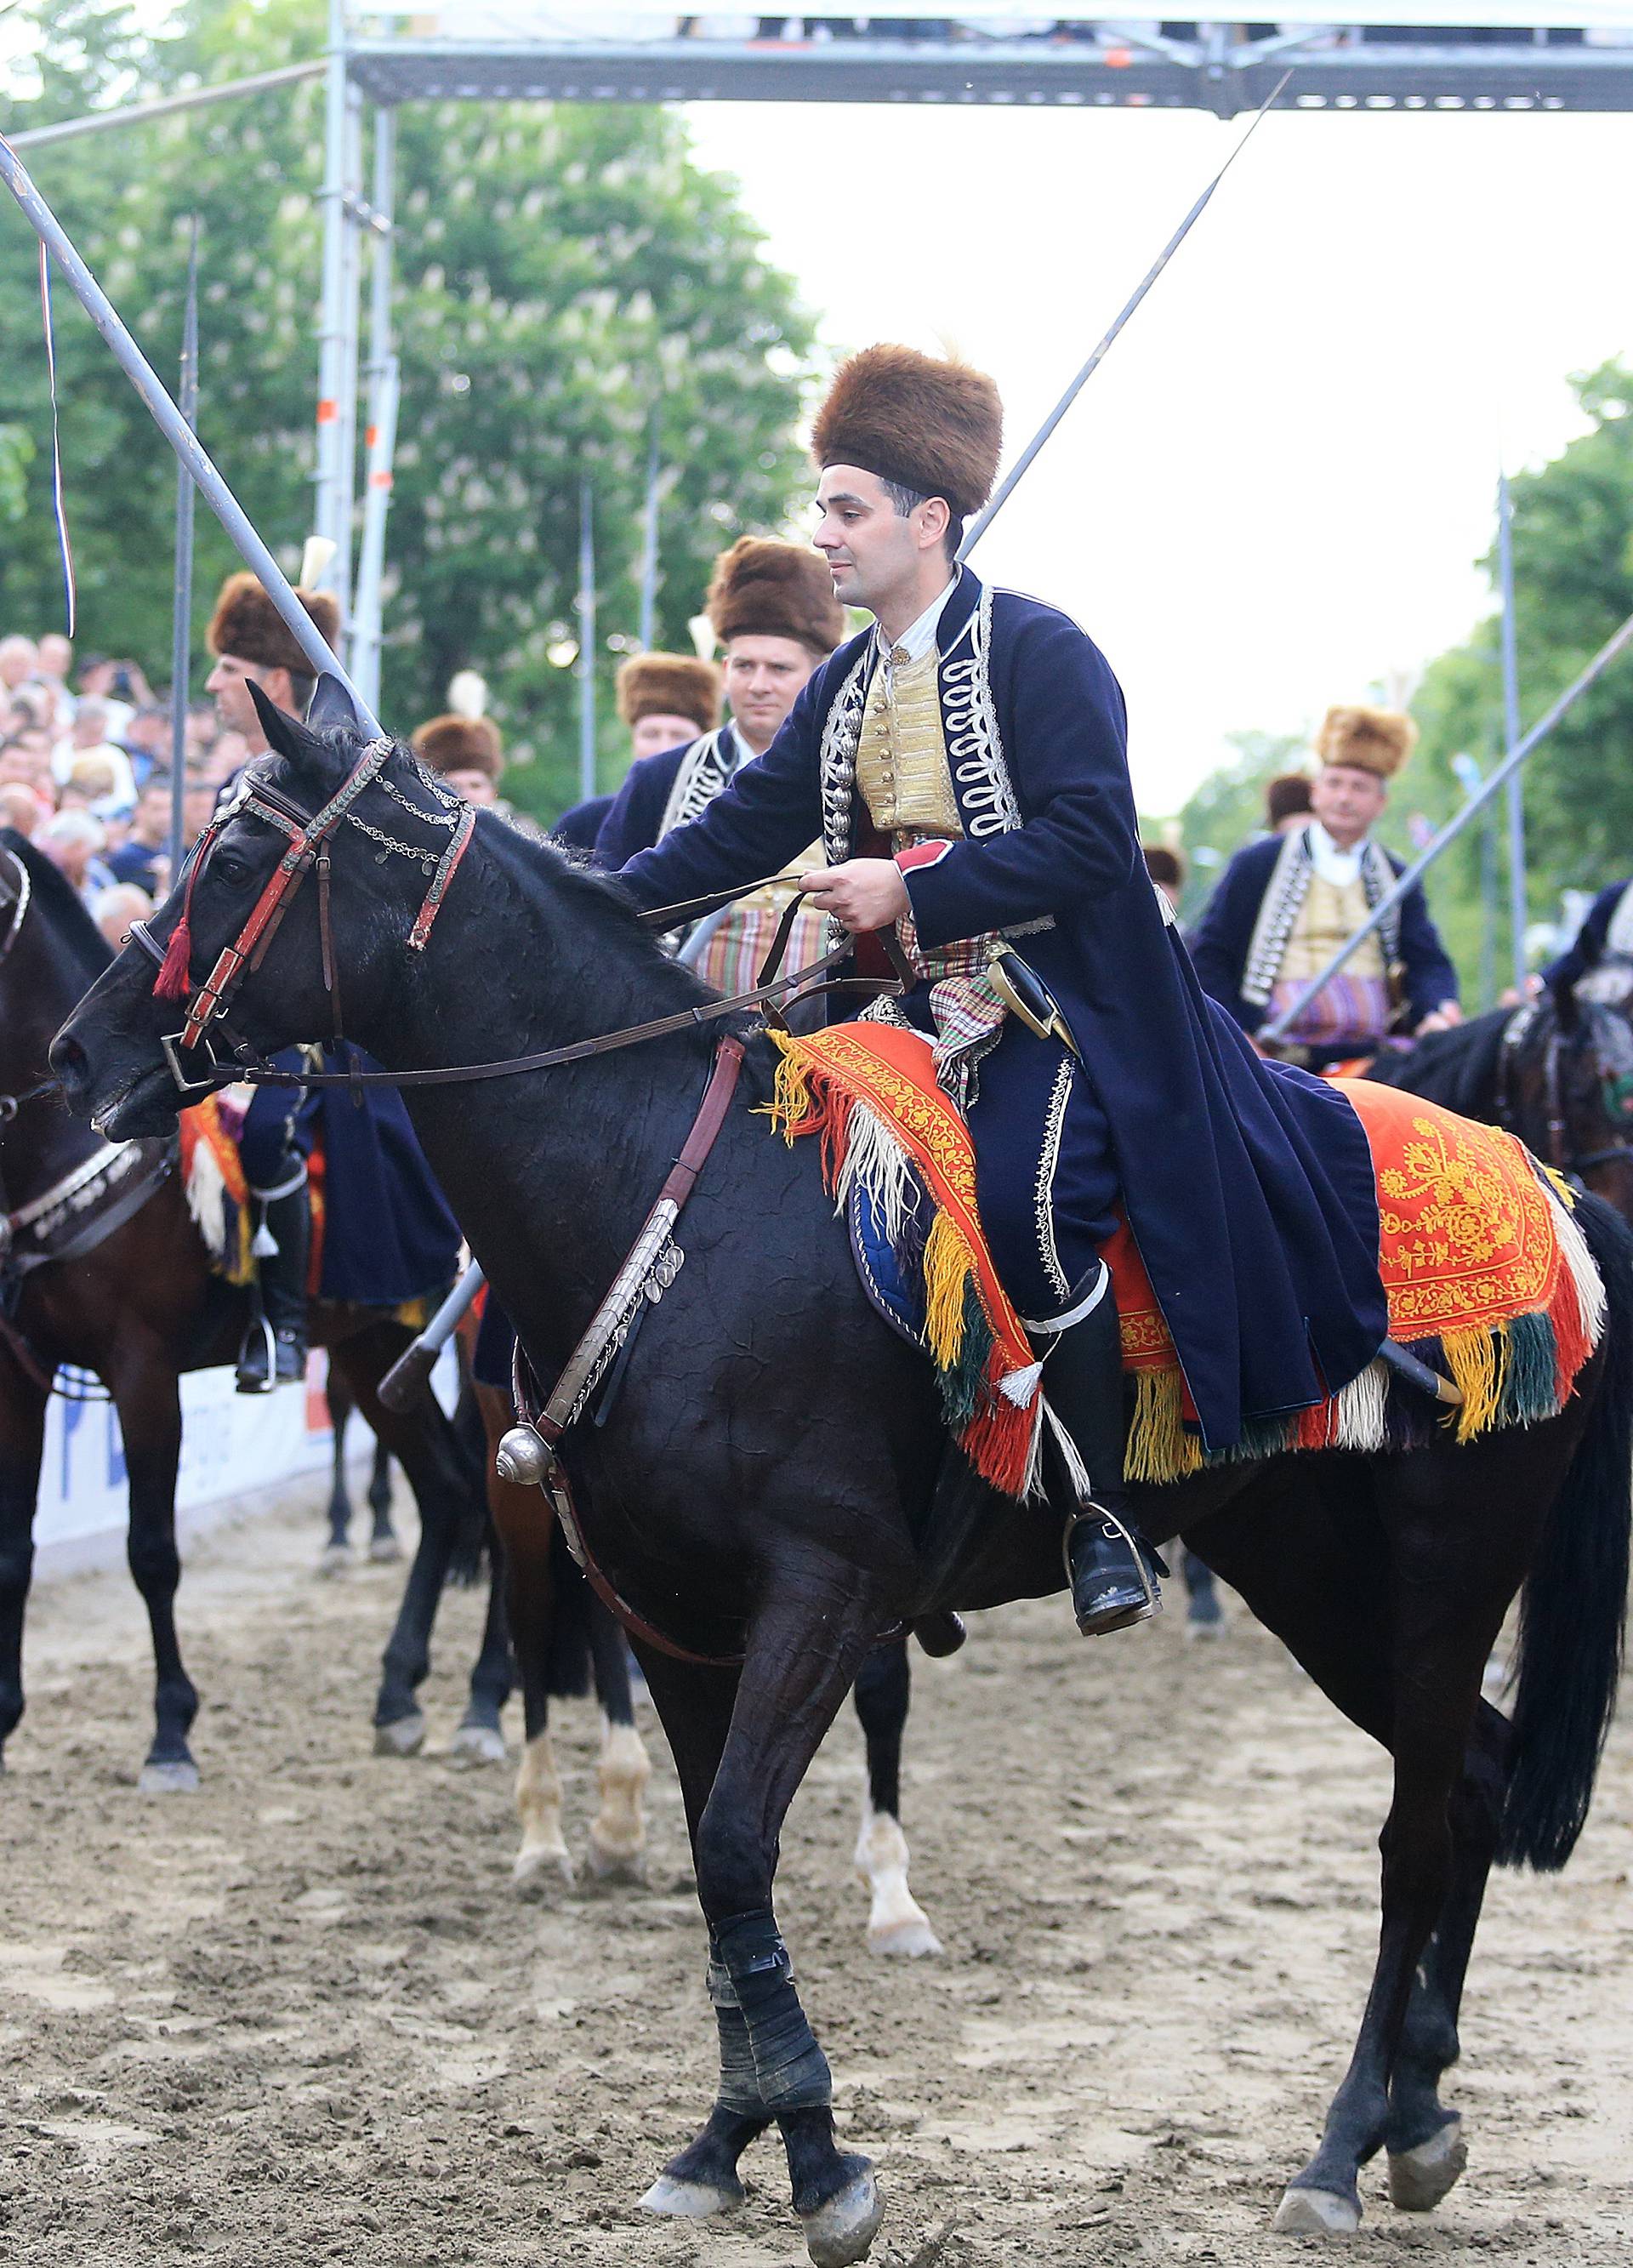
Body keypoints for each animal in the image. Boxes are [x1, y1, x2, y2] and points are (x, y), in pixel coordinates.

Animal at [0, 825, 508, 1778]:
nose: (74, 1056)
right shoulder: (19, 1377)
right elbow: (15, 1551)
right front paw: (6, 1716)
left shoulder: (142, 1373)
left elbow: (152, 1552)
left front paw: (170, 1730)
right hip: (376, 1350)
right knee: (448, 1491)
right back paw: (400, 1689)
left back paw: (489, 1697)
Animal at [54, 712, 1633, 2268]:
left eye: (237, 855)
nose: (77, 1053)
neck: (676, 1205)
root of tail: (1553, 1191)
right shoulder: (676, 1617)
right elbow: (718, 1860)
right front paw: (730, 2136)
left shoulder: (826, 1594)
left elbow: (739, 1848)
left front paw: (815, 2153)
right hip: (1316, 1576)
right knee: (1477, 1786)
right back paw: (1416, 2116)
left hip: (1439, 1587)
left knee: (1415, 1837)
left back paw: (1342, 2144)